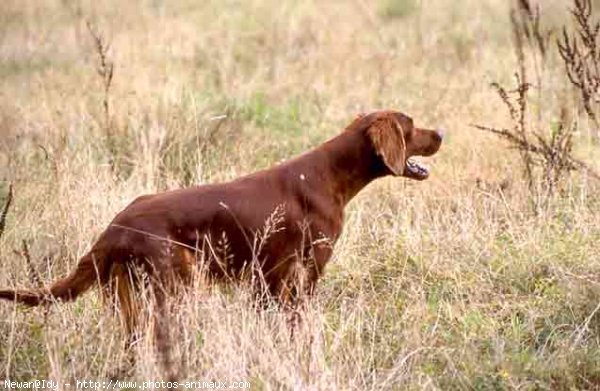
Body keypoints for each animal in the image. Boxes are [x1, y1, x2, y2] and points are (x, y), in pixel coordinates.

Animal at [0, 109, 440, 376]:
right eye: (412, 125)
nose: (442, 132)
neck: (328, 174)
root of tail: (114, 227)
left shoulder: (268, 280)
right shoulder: (302, 274)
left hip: (133, 299)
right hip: (173, 287)